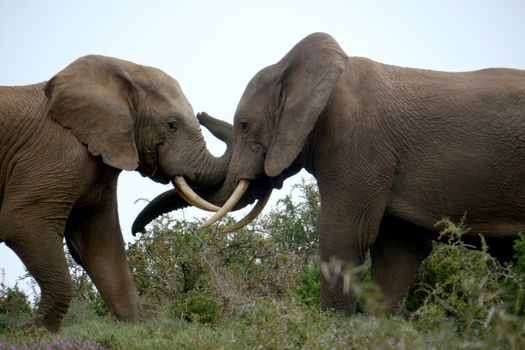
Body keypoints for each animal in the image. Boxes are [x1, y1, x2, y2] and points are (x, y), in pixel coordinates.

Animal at [0, 54, 229, 330]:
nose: (139, 231)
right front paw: (34, 332)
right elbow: (22, 223)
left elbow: (101, 246)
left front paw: (136, 330)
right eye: (172, 125)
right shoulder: (55, 153)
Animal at [133, 32, 524, 318]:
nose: (138, 233)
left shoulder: (359, 146)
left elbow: (344, 236)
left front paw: (334, 327)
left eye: (243, 125)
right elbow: (398, 252)